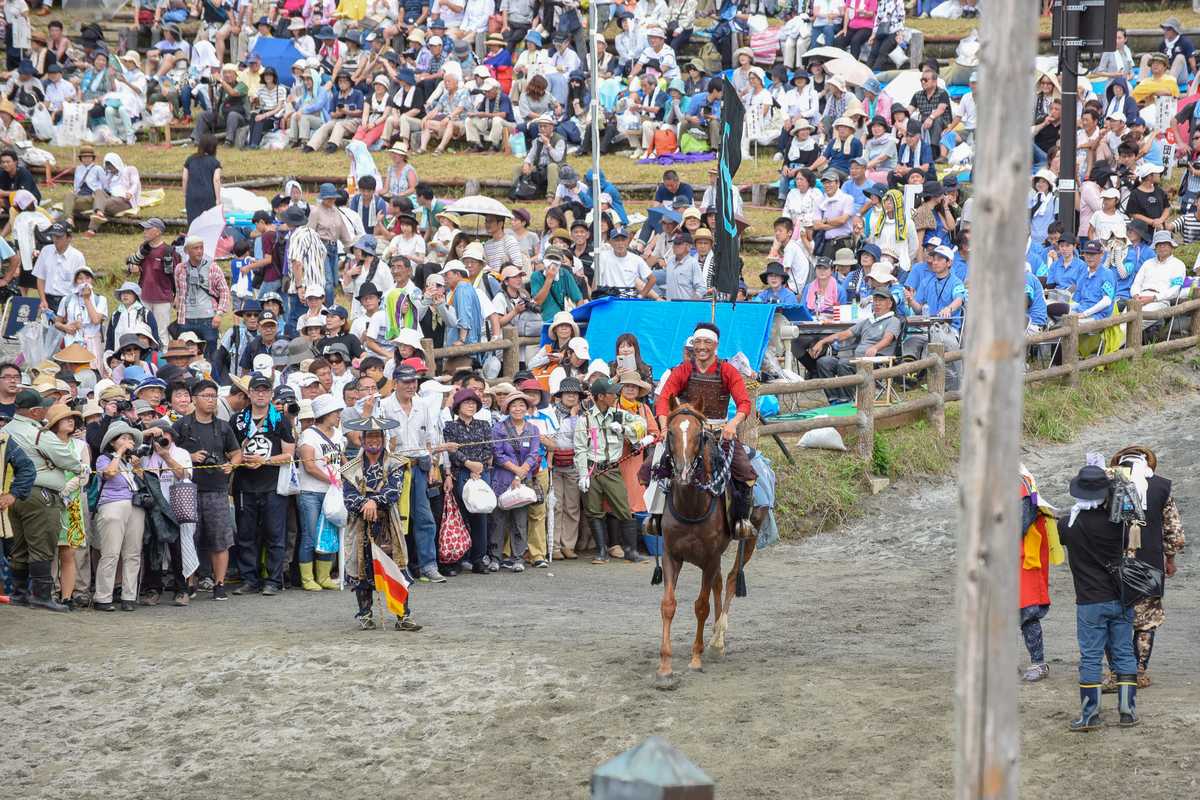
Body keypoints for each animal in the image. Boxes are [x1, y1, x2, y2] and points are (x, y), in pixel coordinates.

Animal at [657, 407, 748, 690]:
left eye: (700, 435)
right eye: (671, 432)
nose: (683, 472)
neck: (691, 504)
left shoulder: (708, 558)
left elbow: (700, 606)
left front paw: (695, 660)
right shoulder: (671, 555)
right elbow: (669, 605)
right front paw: (665, 668)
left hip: (748, 542)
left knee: (731, 579)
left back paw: (718, 640)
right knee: (719, 583)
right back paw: (715, 638)